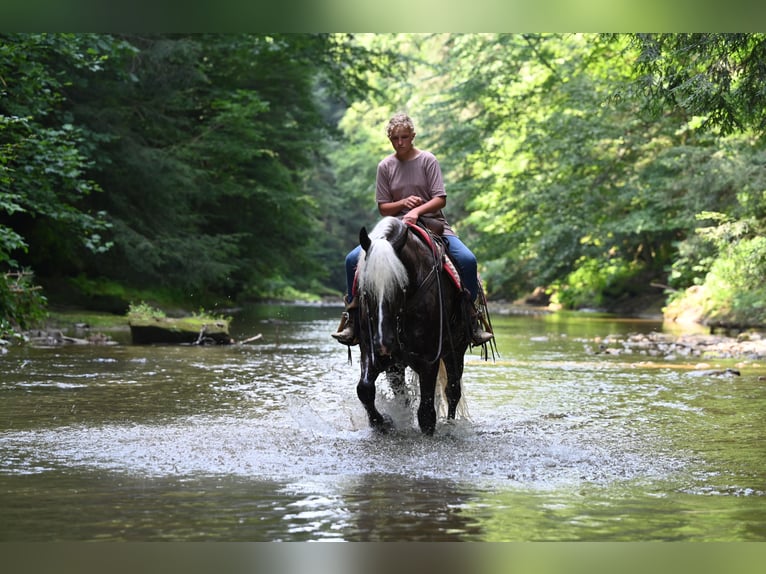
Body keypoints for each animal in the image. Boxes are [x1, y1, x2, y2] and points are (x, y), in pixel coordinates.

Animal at [354, 216, 472, 435]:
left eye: (399, 286)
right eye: (366, 289)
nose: (384, 344)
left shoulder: (430, 356)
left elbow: (426, 414)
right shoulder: (369, 348)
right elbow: (364, 389)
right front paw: (383, 423)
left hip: (455, 350)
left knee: (452, 391)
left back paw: (450, 424)